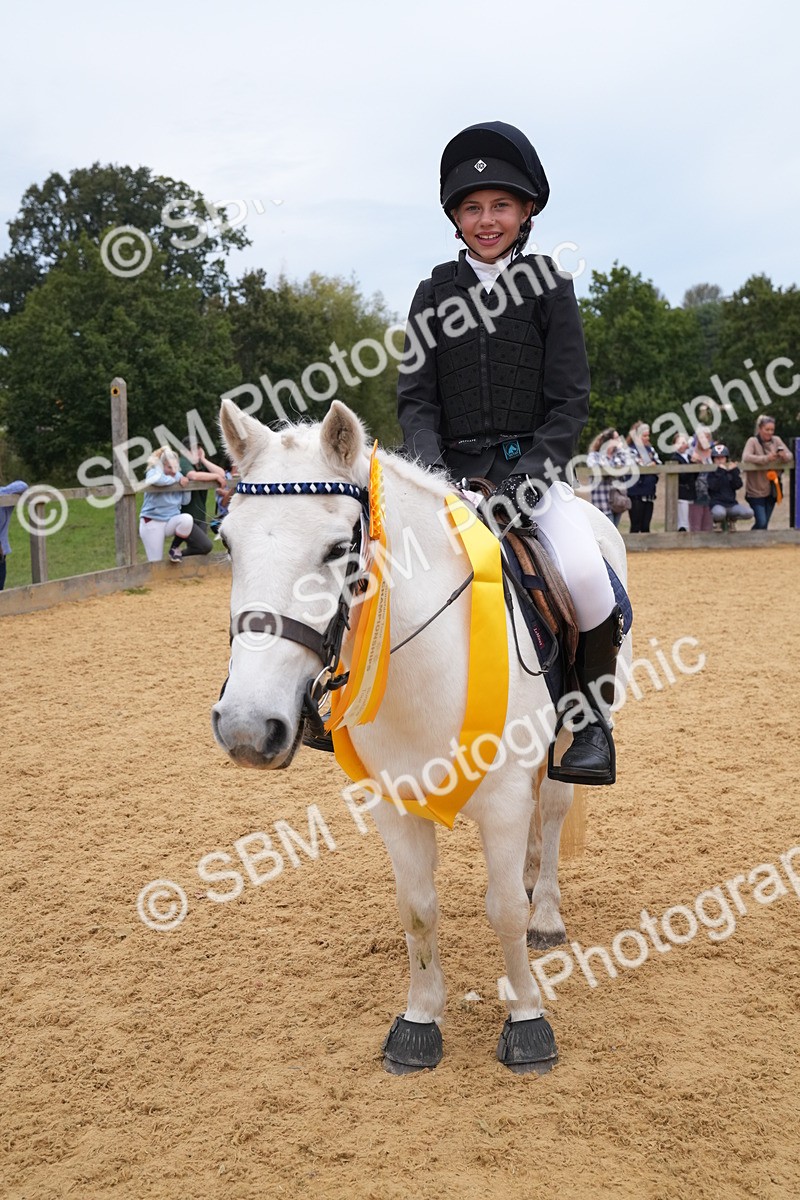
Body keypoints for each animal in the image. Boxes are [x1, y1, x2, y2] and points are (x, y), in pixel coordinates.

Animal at [212, 398, 630, 1075]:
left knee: (553, 810)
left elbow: (503, 911)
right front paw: (420, 1021)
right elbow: (417, 909)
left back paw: (545, 911)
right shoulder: (393, 802)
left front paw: (527, 1020)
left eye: (339, 548)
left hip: (566, 743)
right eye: (227, 541)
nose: (248, 727)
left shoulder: (502, 800)